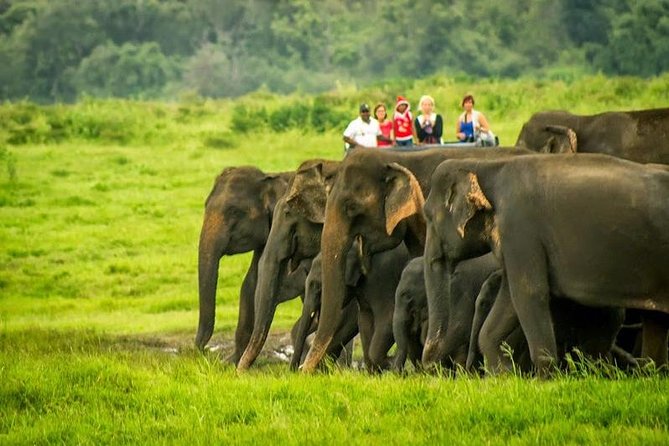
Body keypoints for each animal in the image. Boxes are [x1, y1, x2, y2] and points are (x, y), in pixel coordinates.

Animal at [196, 166, 308, 364]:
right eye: (205, 205)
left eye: (234, 212)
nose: (202, 353)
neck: (270, 177)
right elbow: (251, 284)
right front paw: (230, 363)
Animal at [422, 152, 668, 372]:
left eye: (429, 216)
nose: (432, 368)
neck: (486, 164)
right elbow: (509, 299)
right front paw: (503, 377)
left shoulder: (520, 230)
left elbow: (529, 293)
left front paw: (544, 382)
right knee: (656, 321)